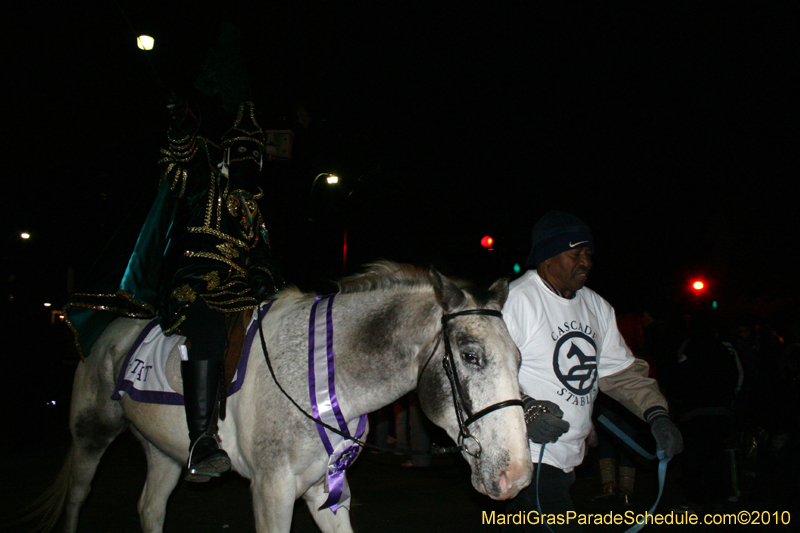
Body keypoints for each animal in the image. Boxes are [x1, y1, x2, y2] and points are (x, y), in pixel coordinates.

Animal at [37, 262, 532, 532]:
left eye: (520, 359)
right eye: (471, 356)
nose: (518, 476)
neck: (329, 376)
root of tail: (111, 330)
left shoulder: (325, 491)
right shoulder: (271, 491)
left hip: (165, 452)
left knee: (150, 509)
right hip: (90, 436)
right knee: (78, 496)